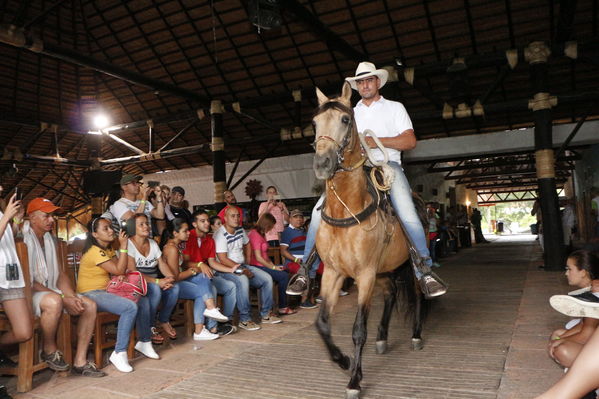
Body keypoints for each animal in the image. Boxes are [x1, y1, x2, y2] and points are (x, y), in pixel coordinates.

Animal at [314, 82, 426, 399]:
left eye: (345, 120)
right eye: (314, 123)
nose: (322, 163)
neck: (346, 210)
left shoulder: (364, 274)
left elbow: (358, 330)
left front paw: (354, 380)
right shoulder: (334, 272)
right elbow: (322, 323)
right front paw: (342, 361)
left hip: (408, 266)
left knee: (419, 295)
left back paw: (416, 334)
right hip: (384, 270)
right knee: (390, 294)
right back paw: (382, 337)